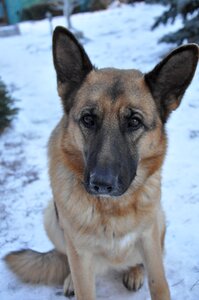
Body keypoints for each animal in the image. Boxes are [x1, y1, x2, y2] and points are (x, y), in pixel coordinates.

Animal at [4, 26, 197, 300]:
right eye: (88, 119)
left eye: (134, 122)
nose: (101, 184)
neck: (113, 209)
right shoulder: (80, 255)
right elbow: (82, 283)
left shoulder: (150, 241)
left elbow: (159, 284)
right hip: (51, 218)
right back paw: (70, 280)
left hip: (159, 220)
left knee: (136, 260)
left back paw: (134, 270)